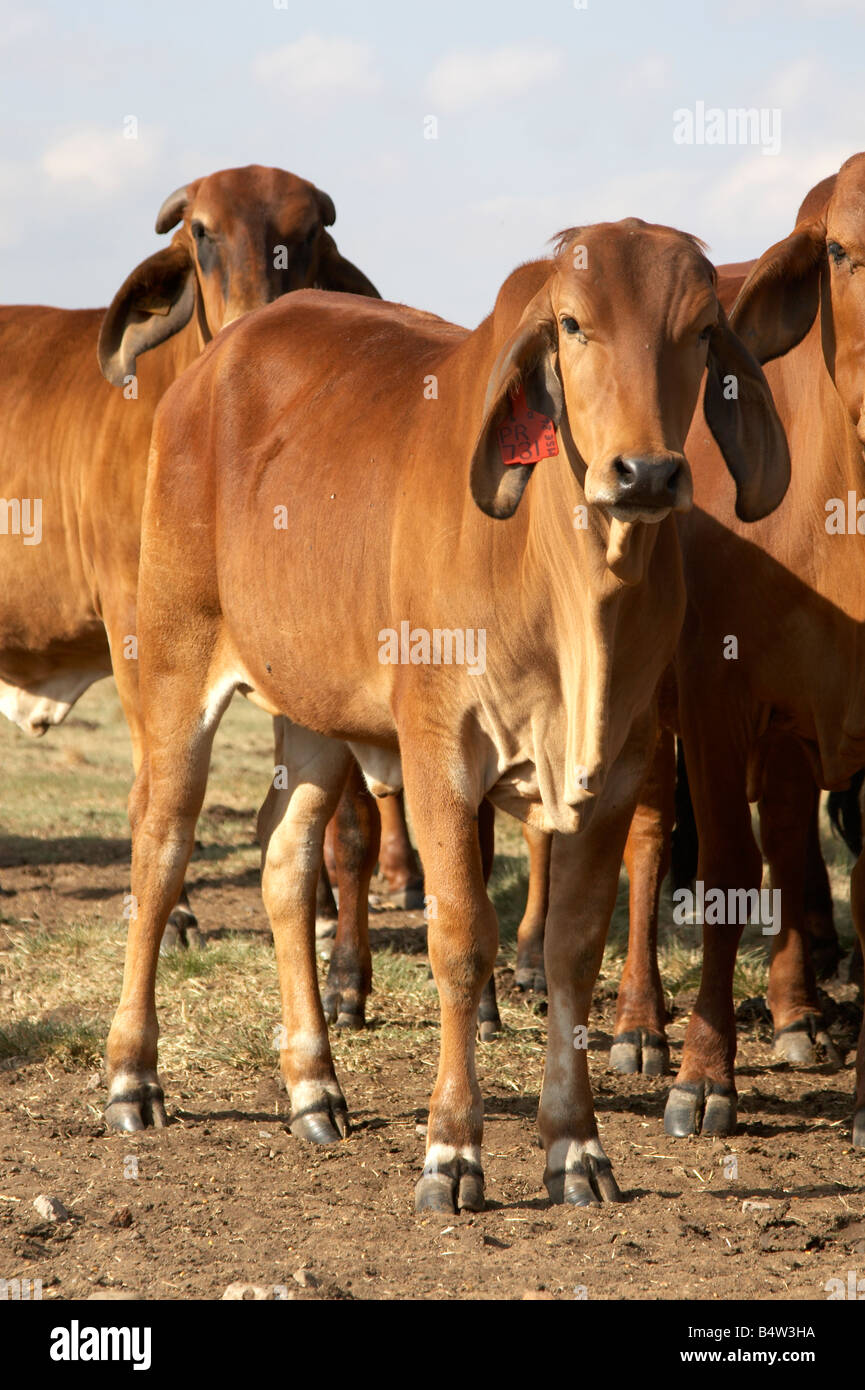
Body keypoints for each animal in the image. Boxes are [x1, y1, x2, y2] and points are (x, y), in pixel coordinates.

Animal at [0, 168, 378, 939]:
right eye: (201, 231)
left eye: (308, 234)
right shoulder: (137, 620)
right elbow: (156, 778)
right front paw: (171, 913)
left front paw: (324, 915)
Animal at [104, 214, 789, 1206]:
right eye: (571, 324)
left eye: (701, 331)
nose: (646, 472)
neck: (571, 591)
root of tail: (213, 365)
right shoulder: (438, 754)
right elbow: (463, 941)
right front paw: (452, 1148)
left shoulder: (618, 767)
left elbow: (570, 950)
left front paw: (575, 1146)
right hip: (173, 660)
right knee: (159, 850)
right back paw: (132, 1075)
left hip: (315, 717)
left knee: (285, 862)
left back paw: (313, 1087)